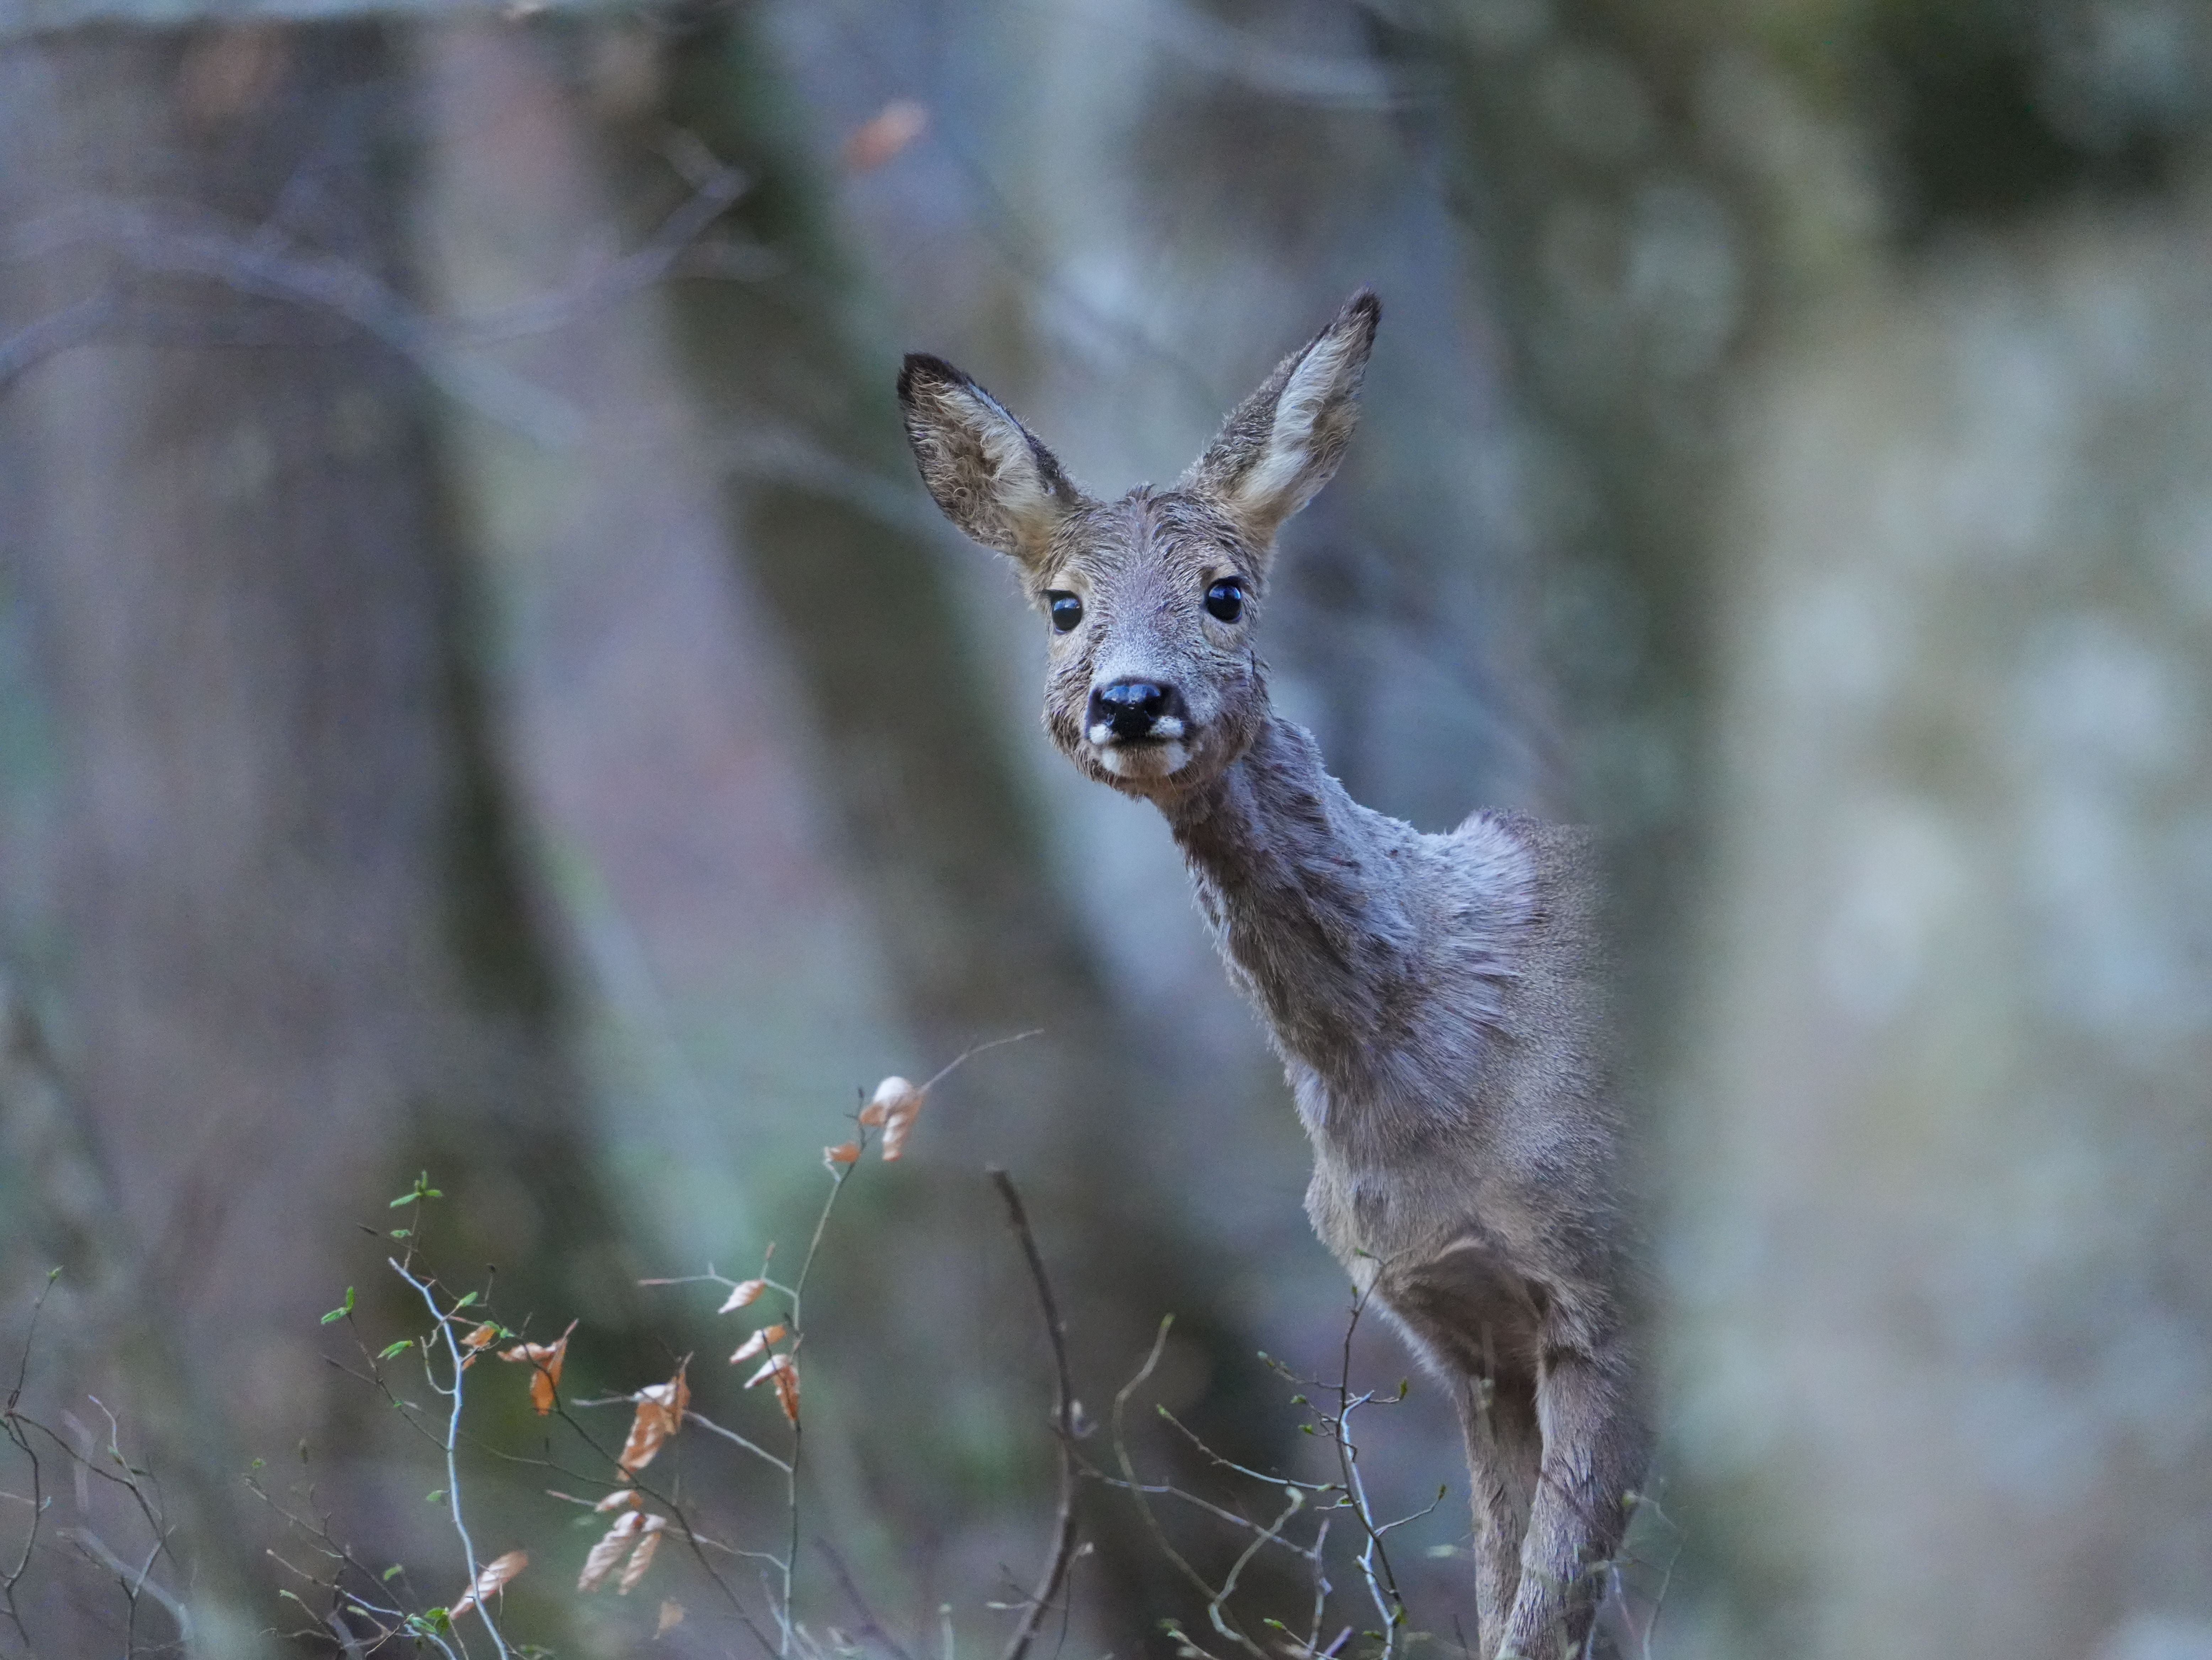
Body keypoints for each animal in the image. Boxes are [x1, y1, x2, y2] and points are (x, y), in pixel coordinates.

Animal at [898, 292, 1645, 1653]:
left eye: (1225, 592)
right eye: (1062, 605)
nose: (1132, 699)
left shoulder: (1611, 1289)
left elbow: (1540, 1622)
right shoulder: (1463, 1335)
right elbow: (1511, 1606)